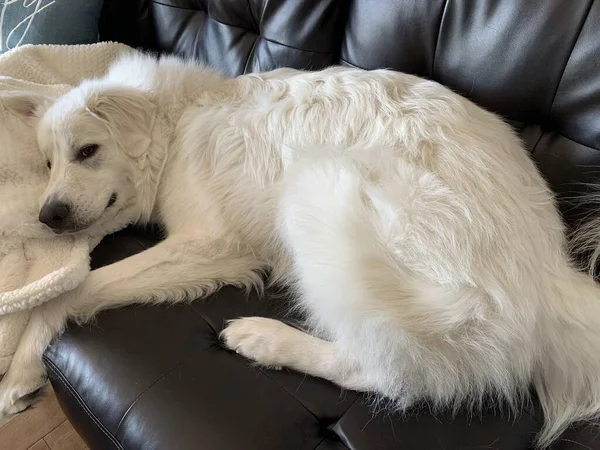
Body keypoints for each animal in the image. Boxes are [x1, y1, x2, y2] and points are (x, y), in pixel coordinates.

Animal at [1, 51, 600, 446]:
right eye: (49, 162)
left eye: (87, 151)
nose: (48, 216)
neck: (180, 119)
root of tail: (552, 277)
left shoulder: (210, 243)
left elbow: (77, 287)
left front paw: (21, 371)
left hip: (317, 189)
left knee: (380, 370)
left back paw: (262, 339)